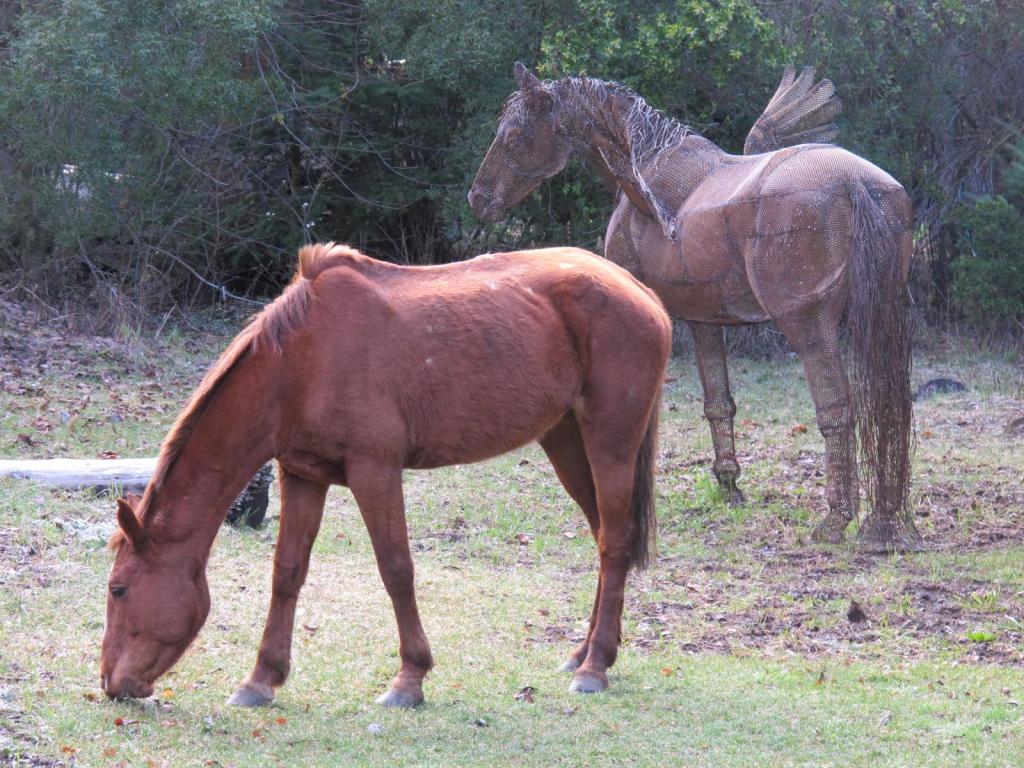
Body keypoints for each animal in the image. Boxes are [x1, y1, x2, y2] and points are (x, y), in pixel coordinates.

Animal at [100, 242, 672, 707]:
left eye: (119, 589)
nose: (110, 684)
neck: (300, 362)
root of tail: (642, 292)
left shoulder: (374, 470)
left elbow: (396, 569)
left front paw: (409, 680)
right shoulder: (302, 474)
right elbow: (287, 572)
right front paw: (261, 679)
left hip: (610, 445)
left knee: (614, 544)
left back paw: (594, 668)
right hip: (567, 443)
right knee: (604, 537)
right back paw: (584, 652)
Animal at [469, 63, 917, 551]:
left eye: (514, 135)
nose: (478, 197)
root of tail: (856, 184)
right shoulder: (705, 320)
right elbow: (718, 403)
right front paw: (729, 485)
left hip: (810, 327)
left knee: (837, 410)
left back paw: (838, 519)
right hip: (881, 317)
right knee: (888, 406)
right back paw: (888, 519)